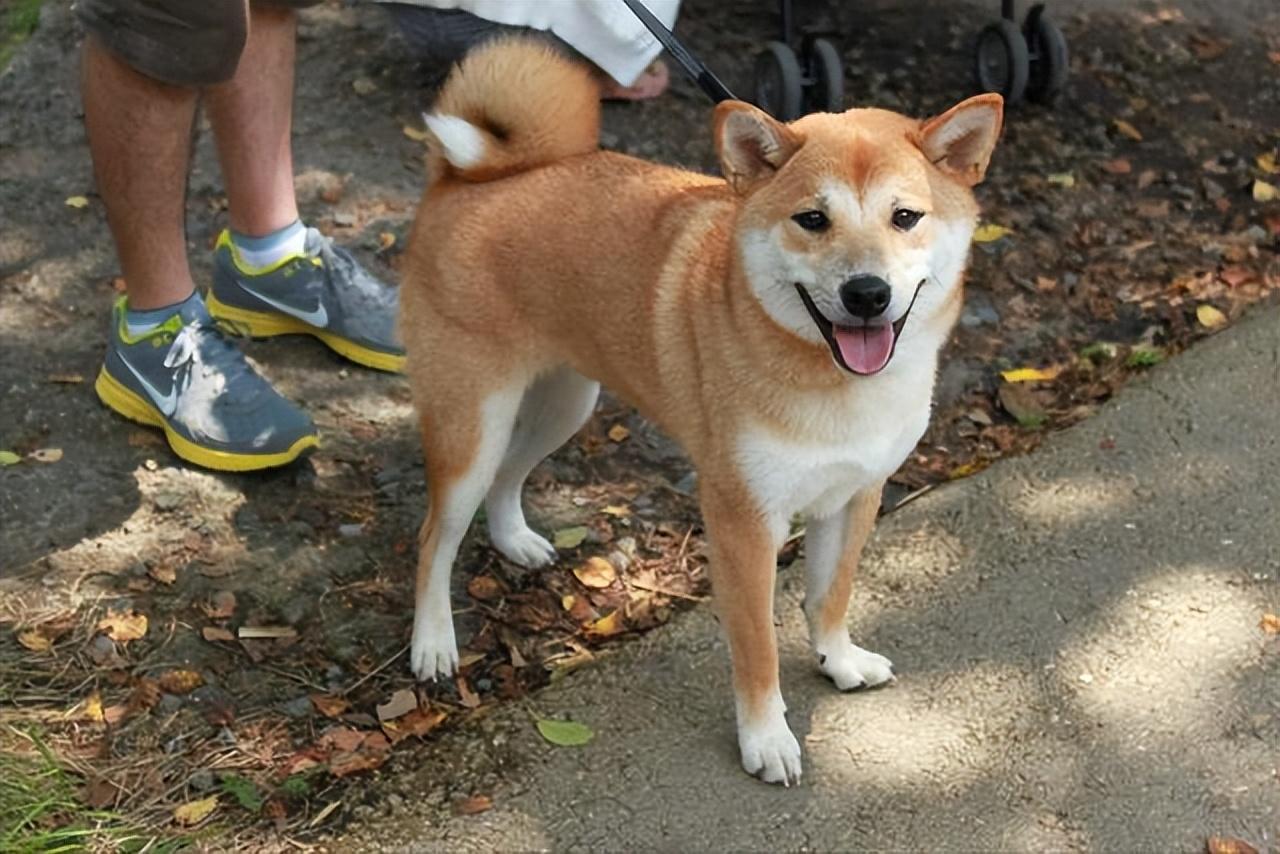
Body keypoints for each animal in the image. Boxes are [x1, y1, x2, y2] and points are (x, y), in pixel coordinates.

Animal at [399, 40, 998, 788]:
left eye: (906, 217)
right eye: (813, 219)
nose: (867, 293)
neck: (837, 386)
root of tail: (464, 179)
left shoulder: (856, 492)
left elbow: (830, 595)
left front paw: (838, 660)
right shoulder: (743, 521)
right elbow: (758, 648)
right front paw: (766, 740)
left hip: (564, 402)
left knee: (508, 478)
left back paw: (515, 540)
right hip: (472, 423)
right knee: (435, 535)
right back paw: (433, 644)